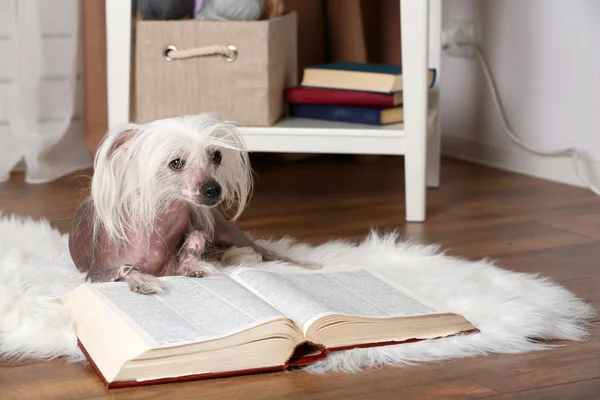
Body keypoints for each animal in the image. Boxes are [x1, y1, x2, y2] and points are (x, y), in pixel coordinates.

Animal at [68, 113, 316, 294]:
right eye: (176, 162)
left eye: (216, 156)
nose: (213, 189)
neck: (160, 225)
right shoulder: (95, 274)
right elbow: (125, 268)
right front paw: (143, 280)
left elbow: (194, 240)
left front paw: (193, 265)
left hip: (225, 231)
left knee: (265, 250)